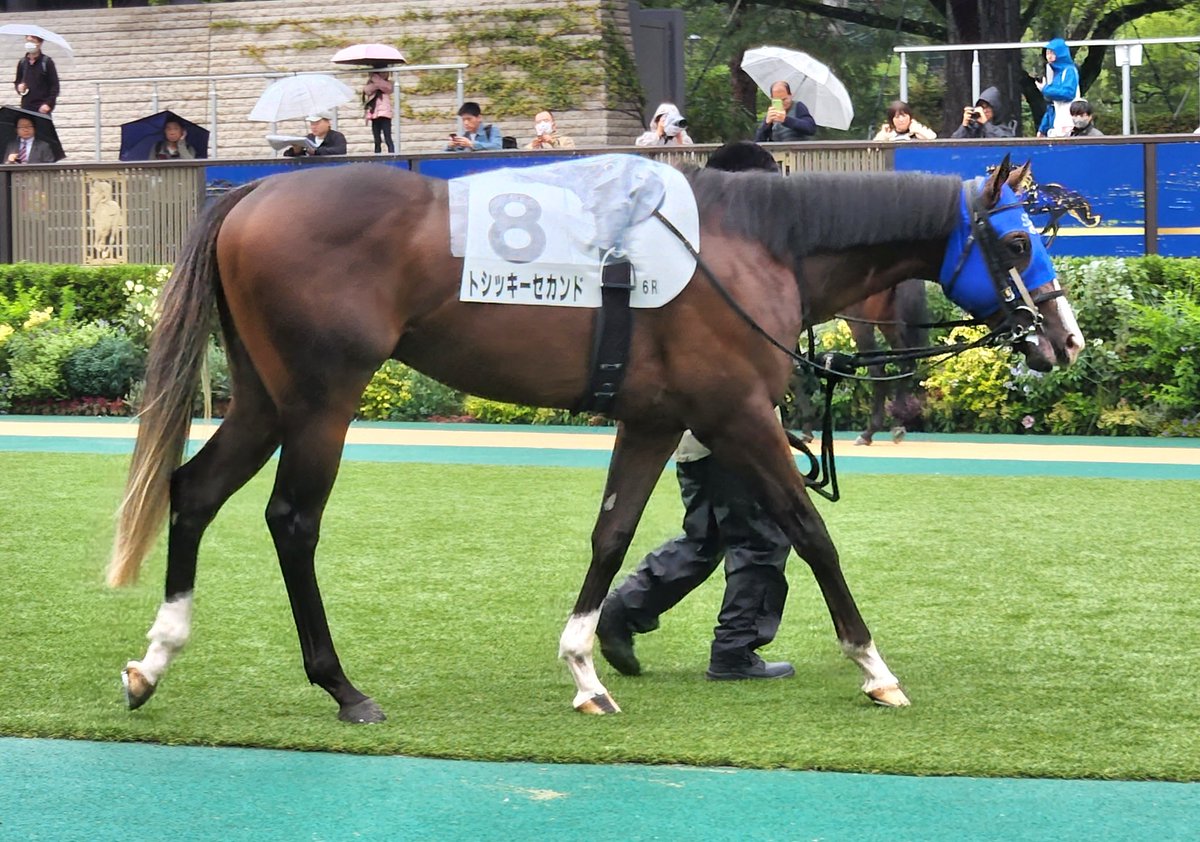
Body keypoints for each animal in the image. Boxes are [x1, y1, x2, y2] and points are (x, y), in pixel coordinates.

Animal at [108, 154, 1083, 722]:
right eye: (1017, 242)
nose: (1065, 338)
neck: (753, 242)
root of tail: (255, 189)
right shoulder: (736, 413)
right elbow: (811, 533)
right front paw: (875, 666)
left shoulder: (657, 418)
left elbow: (612, 535)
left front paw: (586, 667)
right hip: (323, 400)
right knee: (293, 522)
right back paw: (342, 688)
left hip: (266, 399)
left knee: (194, 491)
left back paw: (155, 660)